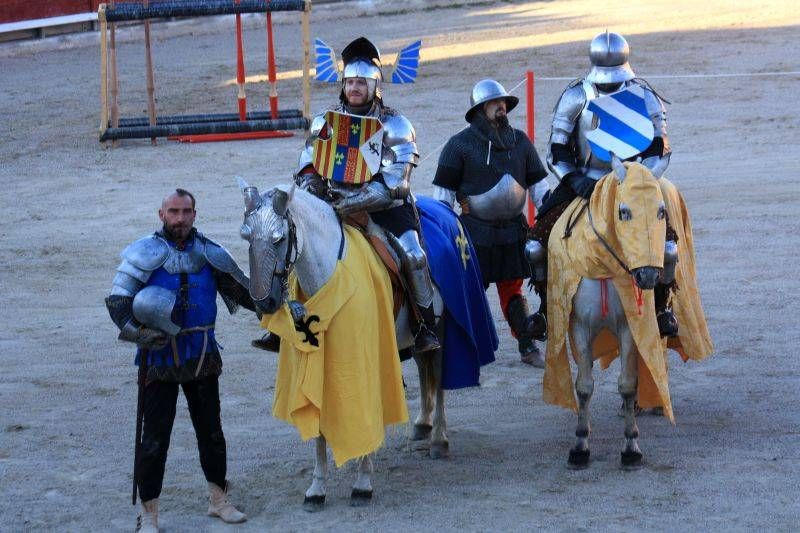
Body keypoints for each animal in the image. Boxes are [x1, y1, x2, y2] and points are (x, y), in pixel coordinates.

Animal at [238, 181, 450, 510]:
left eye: (279, 238)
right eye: (246, 237)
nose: (265, 303)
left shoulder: (365, 359)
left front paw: (362, 483)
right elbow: (318, 429)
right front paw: (316, 488)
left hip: (439, 325)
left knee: (437, 375)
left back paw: (438, 438)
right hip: (410, 339)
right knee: (423, 366)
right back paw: (422, 425)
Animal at [544, 157, 712, 470]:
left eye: (660, 211)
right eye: (623, 212)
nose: (647, 276)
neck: (604, 268)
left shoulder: (631, 327)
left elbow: (627, 383)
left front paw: (631, 446)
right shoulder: (579, 326)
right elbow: (584, 387)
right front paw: (580, 445)